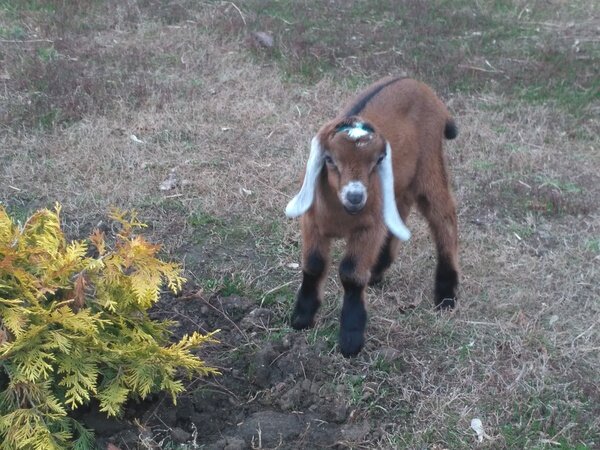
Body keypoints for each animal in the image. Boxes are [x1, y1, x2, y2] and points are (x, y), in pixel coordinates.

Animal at [286, 77, 460, 358]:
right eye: (329, 159)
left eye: (378, 159)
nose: (356, 196)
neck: (342, 215)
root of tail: (419, 85)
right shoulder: (312, 222)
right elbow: (313, 265)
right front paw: (302, 317)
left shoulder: (368, 228)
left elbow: (351, 274)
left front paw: (351, 339)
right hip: (399, 182)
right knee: (401, 209)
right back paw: (378, 270)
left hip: (429, 164)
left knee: (443, 217)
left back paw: (446, 294)